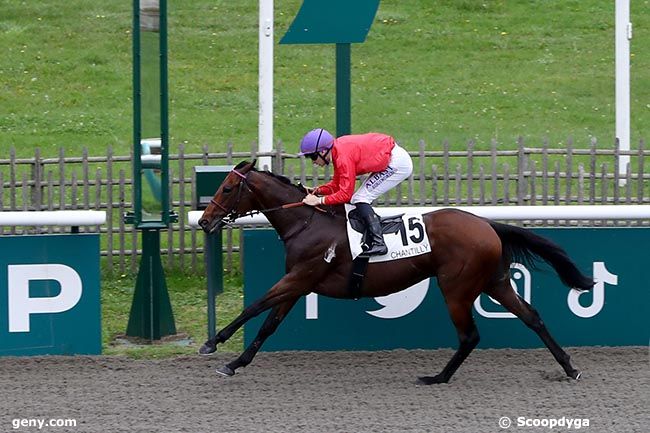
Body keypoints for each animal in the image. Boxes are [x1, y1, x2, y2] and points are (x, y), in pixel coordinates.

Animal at [196, 160, 592, 384]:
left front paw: (212, 343)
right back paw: (569, 368)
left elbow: (254, 307)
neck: (306, 222)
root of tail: (487, 224)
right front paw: (235, 363)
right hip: (495, 282)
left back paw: (437, 378)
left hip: (456, 288)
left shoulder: (300, 277)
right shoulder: (297, 284)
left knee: (470, 336)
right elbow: (268, 324)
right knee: (531, 317)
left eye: (227, 188)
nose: (203, 221)